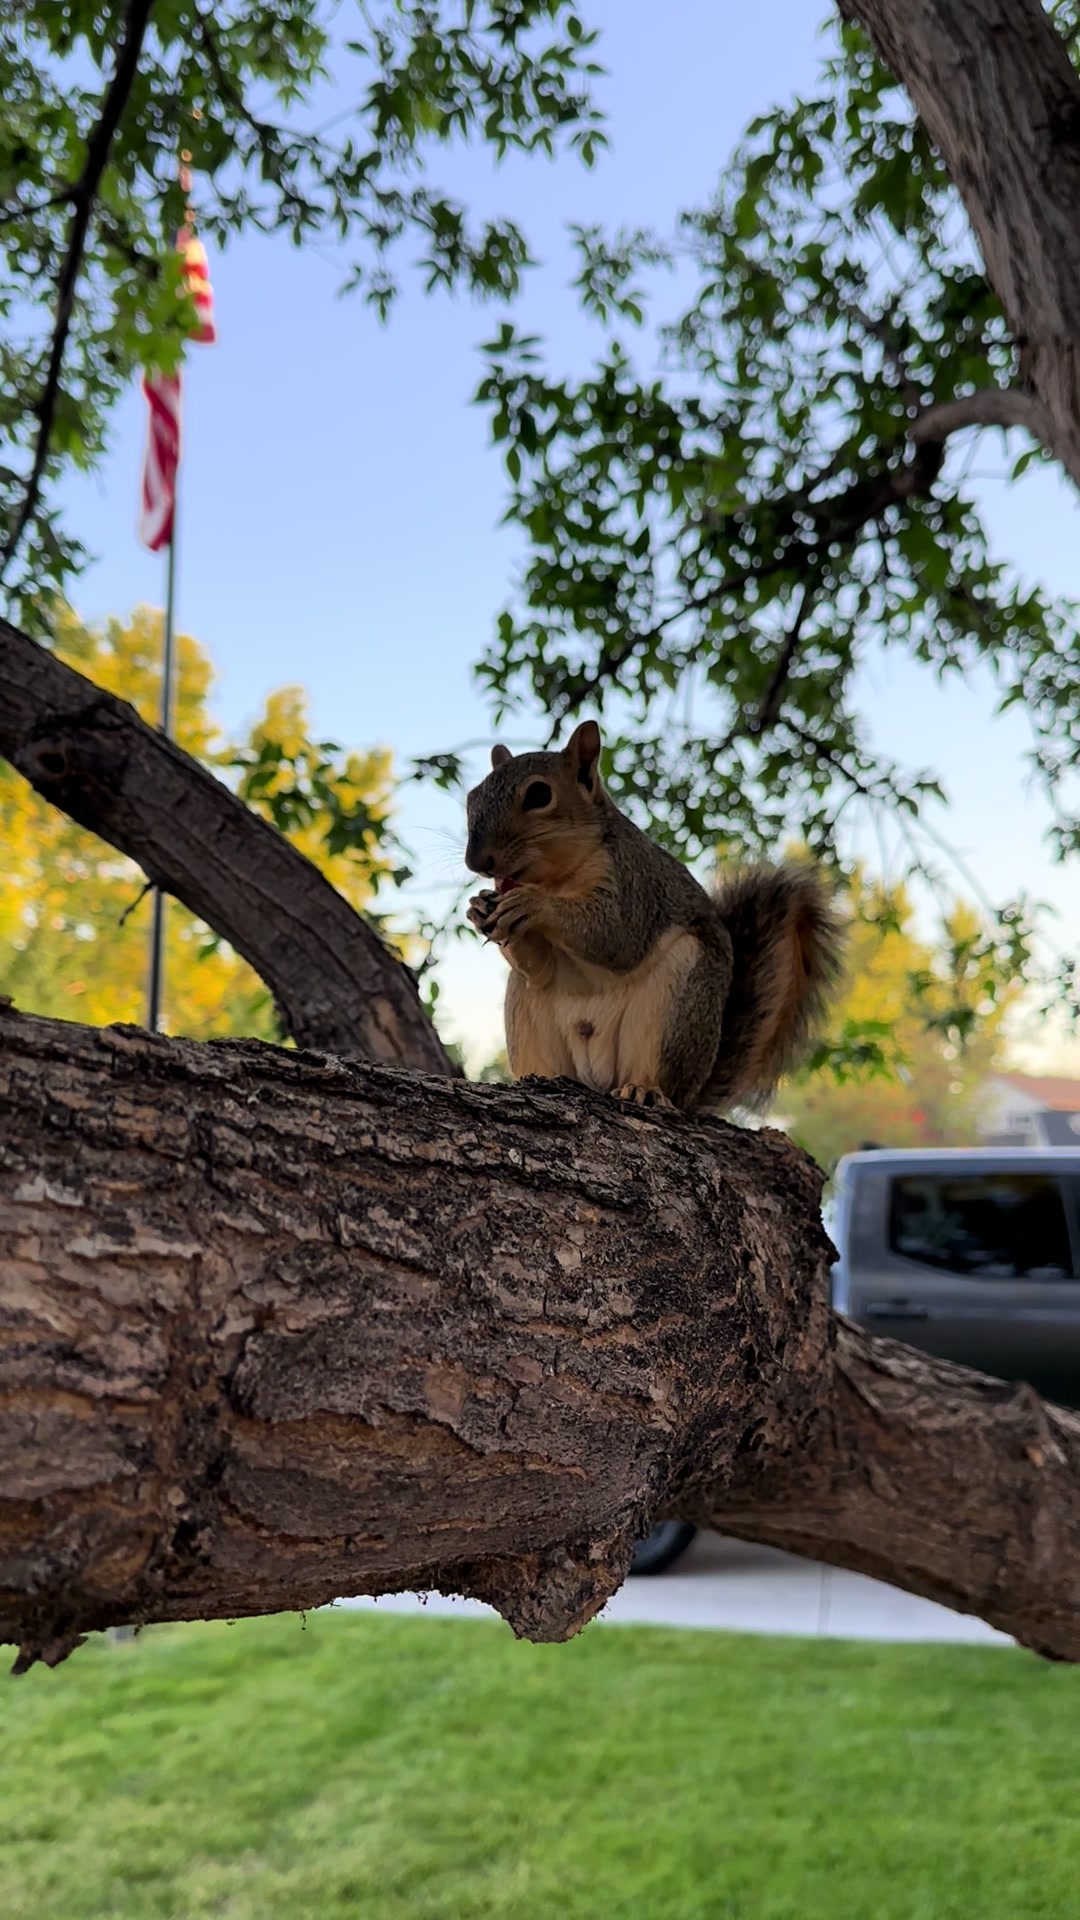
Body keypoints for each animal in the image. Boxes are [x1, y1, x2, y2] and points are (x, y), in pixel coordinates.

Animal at [465, 720, 843, 1113]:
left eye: (539, 794)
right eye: (472, 797)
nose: (476, 862)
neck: (557, 878)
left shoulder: (636, 885)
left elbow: (616, 936)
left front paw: (532, 904)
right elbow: (539, 967)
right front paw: (478, 907)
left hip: (677, 1004)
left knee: (656, 1073)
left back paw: (644, 1089)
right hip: (527, 1010)